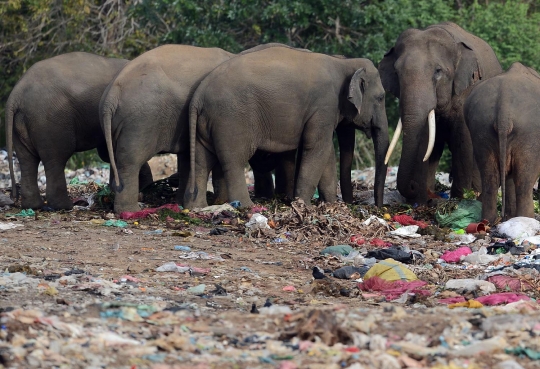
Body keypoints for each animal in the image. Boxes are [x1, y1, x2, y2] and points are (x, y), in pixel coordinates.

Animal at [5, 51, 154, 210]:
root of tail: (16, 94)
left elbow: (108, 152)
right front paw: (144, 186)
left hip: (22, 122)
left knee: (27, 160)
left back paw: (33, 206)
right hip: (49, 120)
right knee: (57, 158)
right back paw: (65, 206)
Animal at [184, 46, 390, 208]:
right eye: (381, 98)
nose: (379, 207)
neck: (343, 63)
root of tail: (198, 95)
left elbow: (326, 152)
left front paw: (330, 205)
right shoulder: (324, 105)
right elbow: (316, 147)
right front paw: (303, 206)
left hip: (207, 122)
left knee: (202, 160)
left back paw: (197, 208)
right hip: (231, 119)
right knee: (234, 161)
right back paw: (247, 207)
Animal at [380, 21, 502, 204]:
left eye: (438, 71)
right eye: (396, 72)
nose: (413, 186)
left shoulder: (466, 88)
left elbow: (463, 138)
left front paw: (459, 199)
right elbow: (424, 140)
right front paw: (422, 201)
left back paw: (475, 195)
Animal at [462, 62, 540, 223]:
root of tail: (504, 108)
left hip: (481, 128)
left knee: (490, 179)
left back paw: (490, 222)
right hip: (529, 133)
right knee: (524, 181)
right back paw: (525, 219)